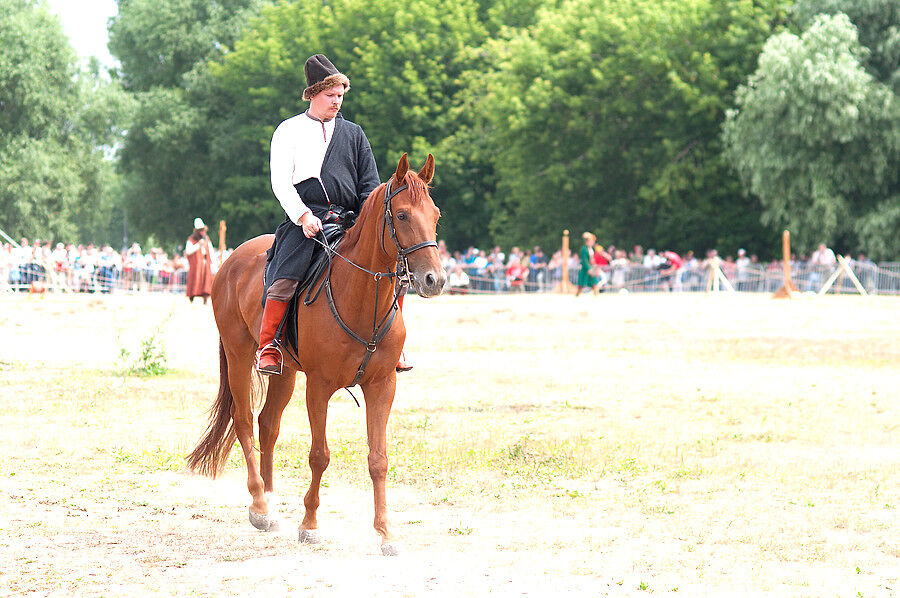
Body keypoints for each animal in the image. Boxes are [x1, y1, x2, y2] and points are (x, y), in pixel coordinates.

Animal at [187, 156, 446, 556]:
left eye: (434, 215)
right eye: (402, 215)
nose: (434, 279)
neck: (359, 297)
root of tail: (230, 261)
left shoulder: (382, 385)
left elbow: (378, 459)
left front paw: (385, 532)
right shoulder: (319, 387)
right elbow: (319, 455)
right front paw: (309, 524)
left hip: (284, 372)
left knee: (267, 426)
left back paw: (271, 500)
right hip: (238, 355)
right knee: (244, 422)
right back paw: (259, 505)